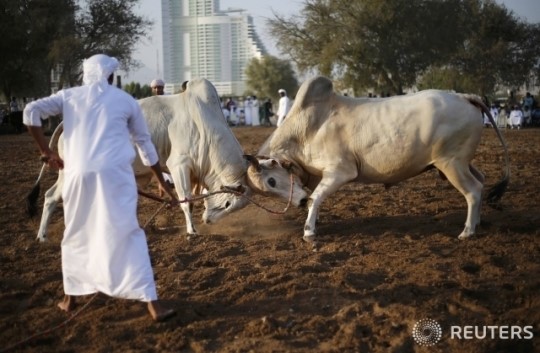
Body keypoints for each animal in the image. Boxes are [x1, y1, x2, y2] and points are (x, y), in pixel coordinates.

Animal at [28, 78, 308, 241]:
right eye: (272, 181)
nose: (304, 199)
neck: (205, 125)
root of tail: (66, 118)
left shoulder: (195, 174)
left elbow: (192, 199)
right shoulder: (179, 166)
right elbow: (185, 201)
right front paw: (192, 231)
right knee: (51, 196)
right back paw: (42, 236)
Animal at [258, 76, 510, 242]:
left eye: (272, 181)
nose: (298, 202)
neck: (308, 127)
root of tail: (466, 96)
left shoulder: (340, 171)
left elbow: (315, 197)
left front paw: (309, 231)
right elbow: (315, 199)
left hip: (451, 164)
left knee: (473, 190)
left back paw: (467, 231)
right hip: (460, 163)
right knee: (481, 179)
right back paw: (477, 222)